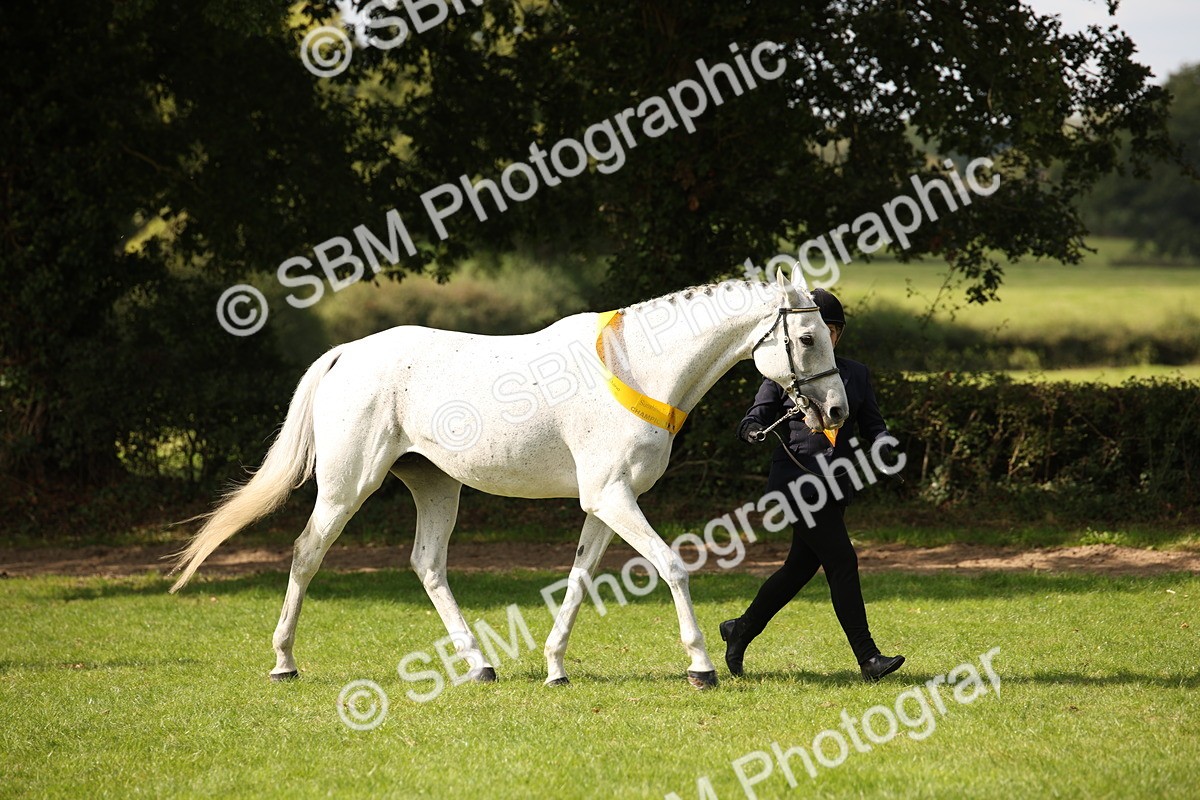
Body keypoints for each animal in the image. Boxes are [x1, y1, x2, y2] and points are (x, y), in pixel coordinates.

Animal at [170, 268, 847, 689]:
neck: (637, 369)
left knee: (427, 564)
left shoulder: (604, 504)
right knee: (307, 553)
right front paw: (702, 667)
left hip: (436, 486)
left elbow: (578, 580)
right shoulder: (613, 498)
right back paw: (284, 661)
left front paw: (555, 668)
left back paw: (479, 665)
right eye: (807, 336)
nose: (837, 411)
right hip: (347, 487)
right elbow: (673, 567)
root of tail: (347, 354)